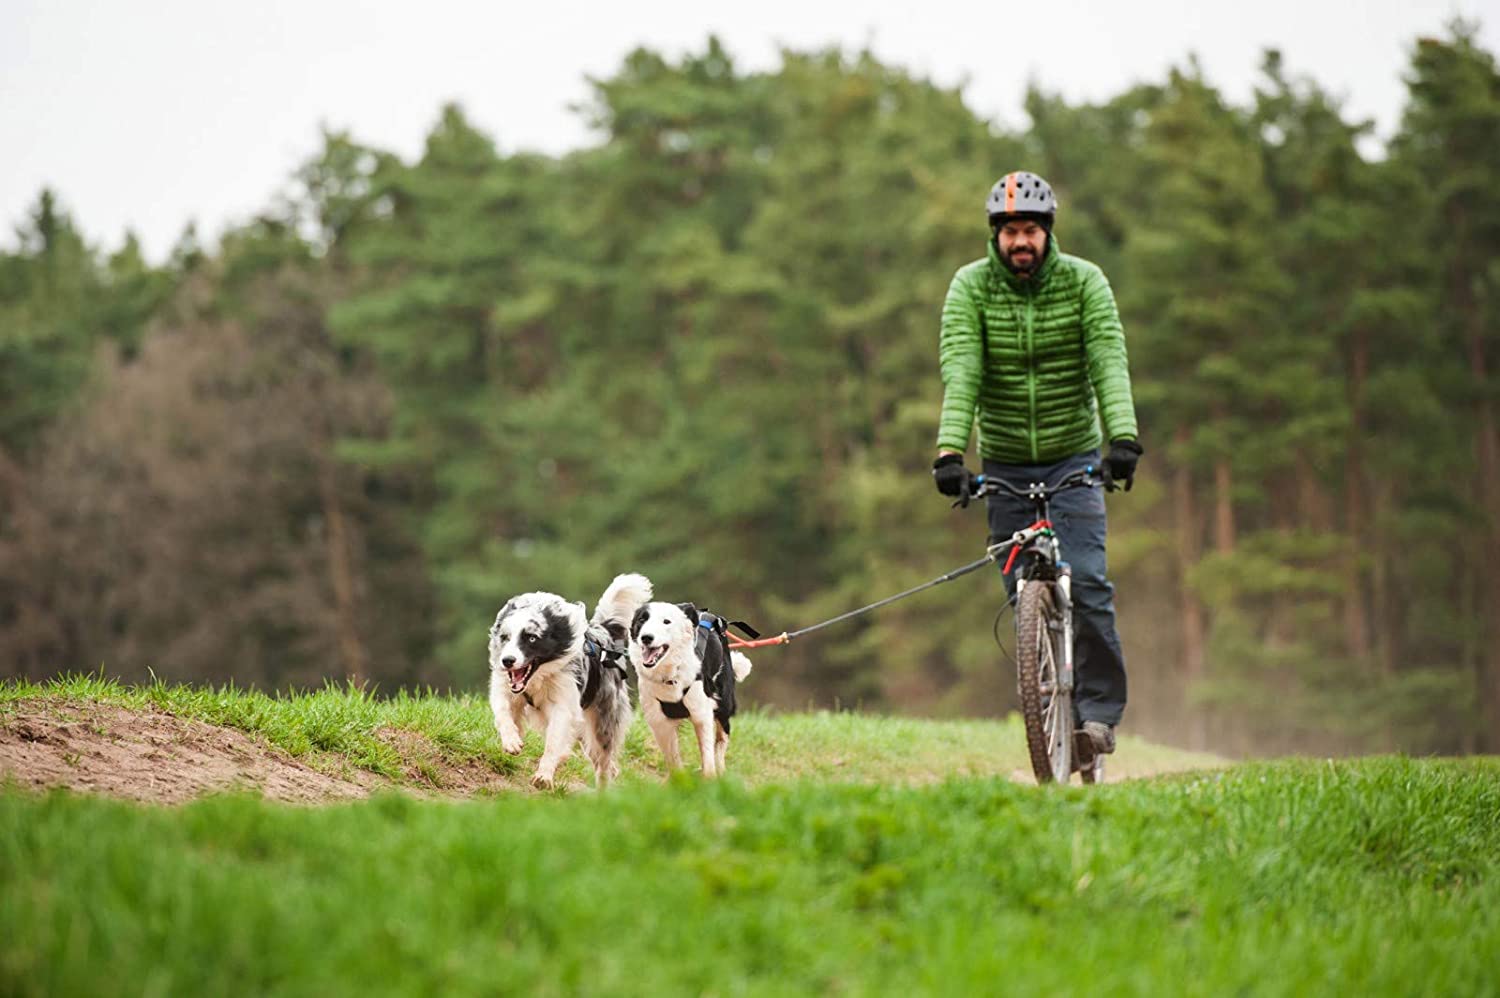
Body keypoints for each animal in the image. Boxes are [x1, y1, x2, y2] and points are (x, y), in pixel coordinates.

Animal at [486, 573, 651, 792]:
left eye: (531, 638)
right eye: (505, 637)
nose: (507, 661)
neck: (539, 677)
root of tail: (604, 635)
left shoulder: (563, 704)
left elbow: (554, 741)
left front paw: (544, 776)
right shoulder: (505, 689)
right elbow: (503, 712)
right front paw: (511, 742)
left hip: (602, 719)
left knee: (604, 760)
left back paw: (603, 790)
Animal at [630, 600, 756, 780]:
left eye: (666, 621)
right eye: (642, 619)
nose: (646, 637)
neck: (670, 676)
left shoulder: (701, 712)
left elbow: (707, 755)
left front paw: (709, 779)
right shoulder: (658, 720)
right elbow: (672, 758)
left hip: (724, 703)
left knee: (721, 739)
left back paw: (721, 770)